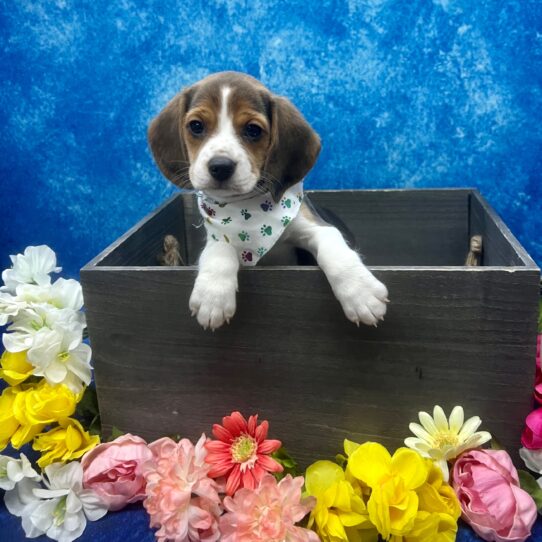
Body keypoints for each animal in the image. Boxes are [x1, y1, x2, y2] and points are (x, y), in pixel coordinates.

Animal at [148, 72, 386, 332]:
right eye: (196, 126)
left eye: (253, 130)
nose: (220, 166)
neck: (247, 209)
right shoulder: (218, 234)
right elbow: (218, 250)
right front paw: (213, 297)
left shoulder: (313, 226)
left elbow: (334, 247)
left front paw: (361, 293)